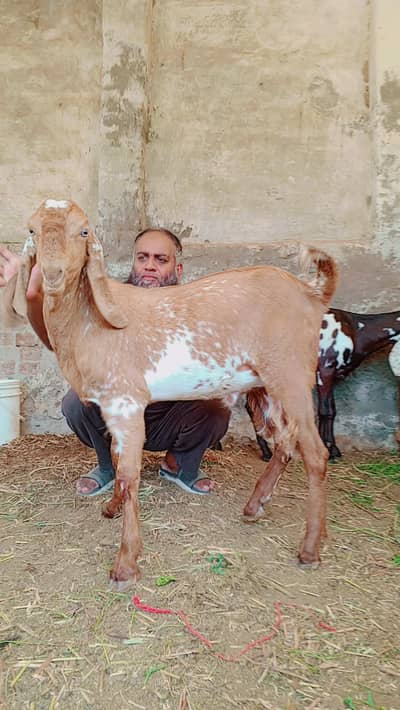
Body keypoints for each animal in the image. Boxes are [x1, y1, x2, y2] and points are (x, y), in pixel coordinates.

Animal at [10, 199, 337, 588]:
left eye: (84, 231)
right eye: (31, 229)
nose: (53, 273)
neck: (89, 322)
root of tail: (311, 293)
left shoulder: (126, 401)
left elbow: (129, 475)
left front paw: (125, 565)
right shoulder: (111, 406)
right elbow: (117, 461)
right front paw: (111, 508)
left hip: (292, 375)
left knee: (315, 453)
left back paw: (309, 550)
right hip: (266, 385)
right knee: (285, 441)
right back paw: (255, 506)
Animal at [250, 307, 400, 461]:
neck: (355, 330)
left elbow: (330, 409)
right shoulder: (325, 369)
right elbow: (326, 410)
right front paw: (331, 449)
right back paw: (267, 452)